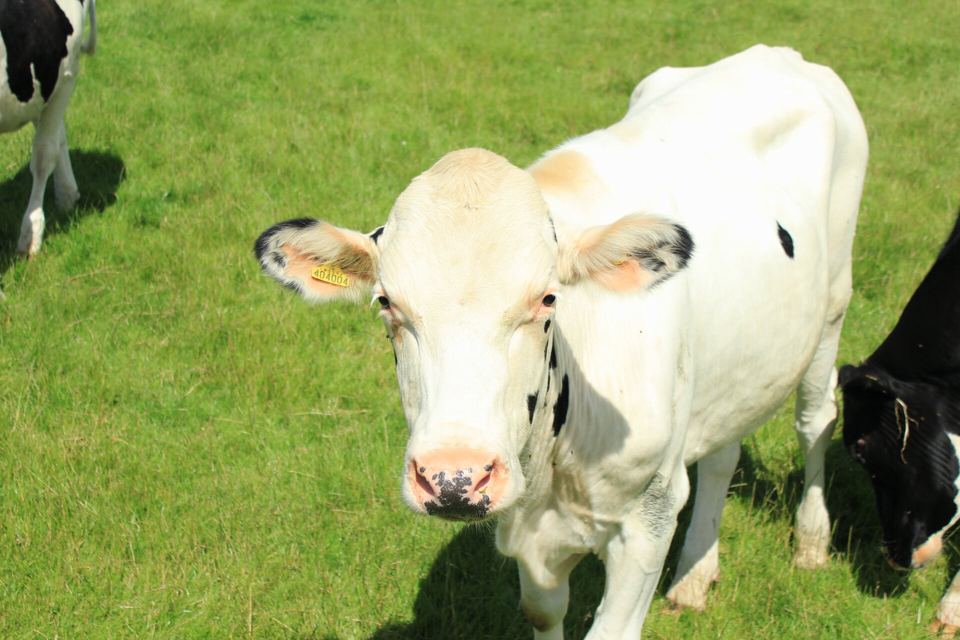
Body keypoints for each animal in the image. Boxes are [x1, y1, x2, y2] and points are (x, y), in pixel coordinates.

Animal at [0, 0, 96, 257]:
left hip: (64, 75)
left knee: (46, 152)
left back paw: (32, 234)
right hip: (40, 87)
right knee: (57, 135)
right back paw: (68, 193)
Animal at [254, 45, 868, 637]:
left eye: (548, 299)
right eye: (386, 302)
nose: (454, 479)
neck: (552, 469)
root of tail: (774, 53)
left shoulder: (650, 512)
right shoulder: (529, 532)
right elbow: (542, 611)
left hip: (833, 304)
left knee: (815, 419)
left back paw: (811, 542)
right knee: (723, 451)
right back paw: (696, 576)